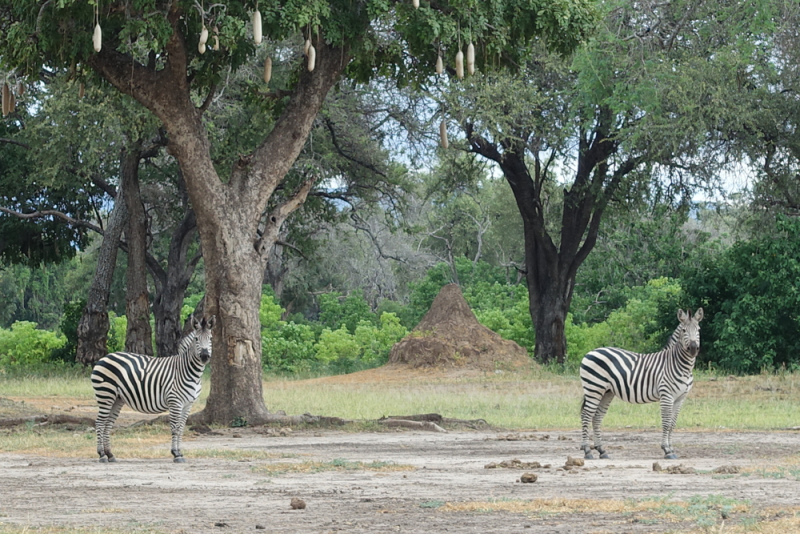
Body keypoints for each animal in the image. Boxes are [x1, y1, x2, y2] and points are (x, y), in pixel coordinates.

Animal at [91, 316, 216, 462]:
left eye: (211, 338)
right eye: (196, 339)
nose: (204, 356)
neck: (189, 372)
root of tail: (104, 358)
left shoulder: (188, 404)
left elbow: (181, 428)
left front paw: (180, 453)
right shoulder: (175, 402)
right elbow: (175, 428)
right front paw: (175, 454)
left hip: (116, 399)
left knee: (108, 423)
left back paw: (110, 454)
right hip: (106, 394)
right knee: (100, 422)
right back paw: (102, 454)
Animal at [580, 310, 704, 460]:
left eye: (698, 330)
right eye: (684, 330)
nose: (693, 348)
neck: (679, 365)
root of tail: (591, 352)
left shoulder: (680, 398)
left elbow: (672, 424)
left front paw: (672, 449)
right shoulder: (666, 395)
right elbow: (666, 423)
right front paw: (667, 450)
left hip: (606, 392)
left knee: (596, 417)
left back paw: (602, 451)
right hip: (594, 388)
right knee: (586, 416)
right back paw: (587, 451)